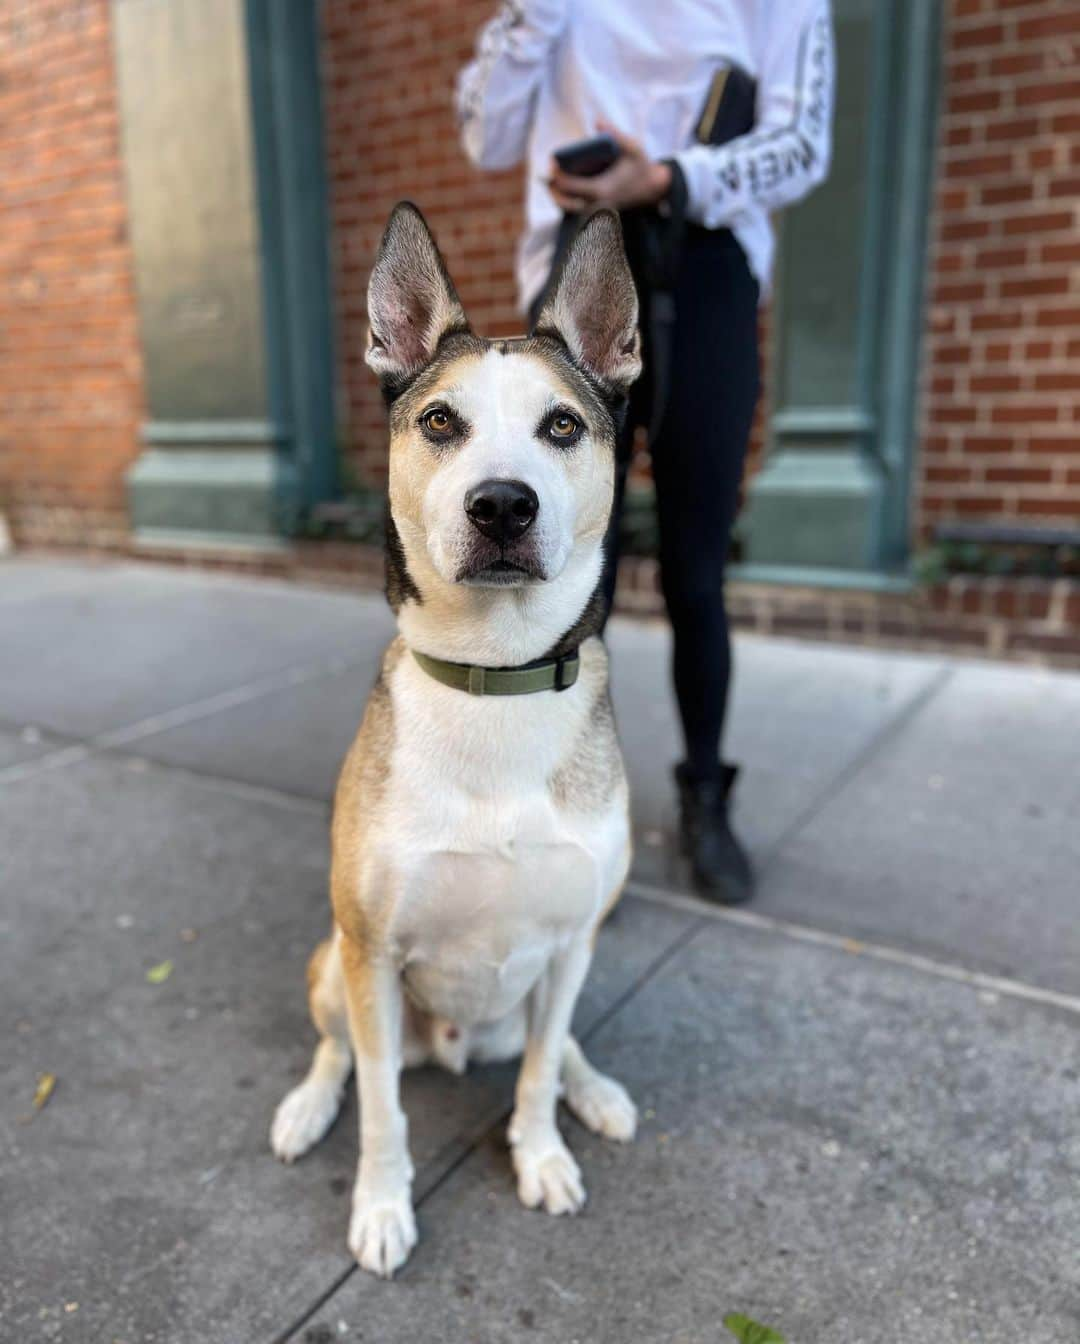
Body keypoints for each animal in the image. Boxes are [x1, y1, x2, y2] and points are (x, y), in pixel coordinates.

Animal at [272, 204, 642, 1274]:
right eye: (441, 422)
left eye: (563, 425)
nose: (504, 503)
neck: (497, 678)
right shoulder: (373, 953)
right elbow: (383, 1107)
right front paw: (382, 1204)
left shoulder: (571, 943)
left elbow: (536, 1075)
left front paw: (541, 1154)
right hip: (332, 966)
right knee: (339, 1053)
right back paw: (307, 1106)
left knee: (551, 1048)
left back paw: (594, 1090)